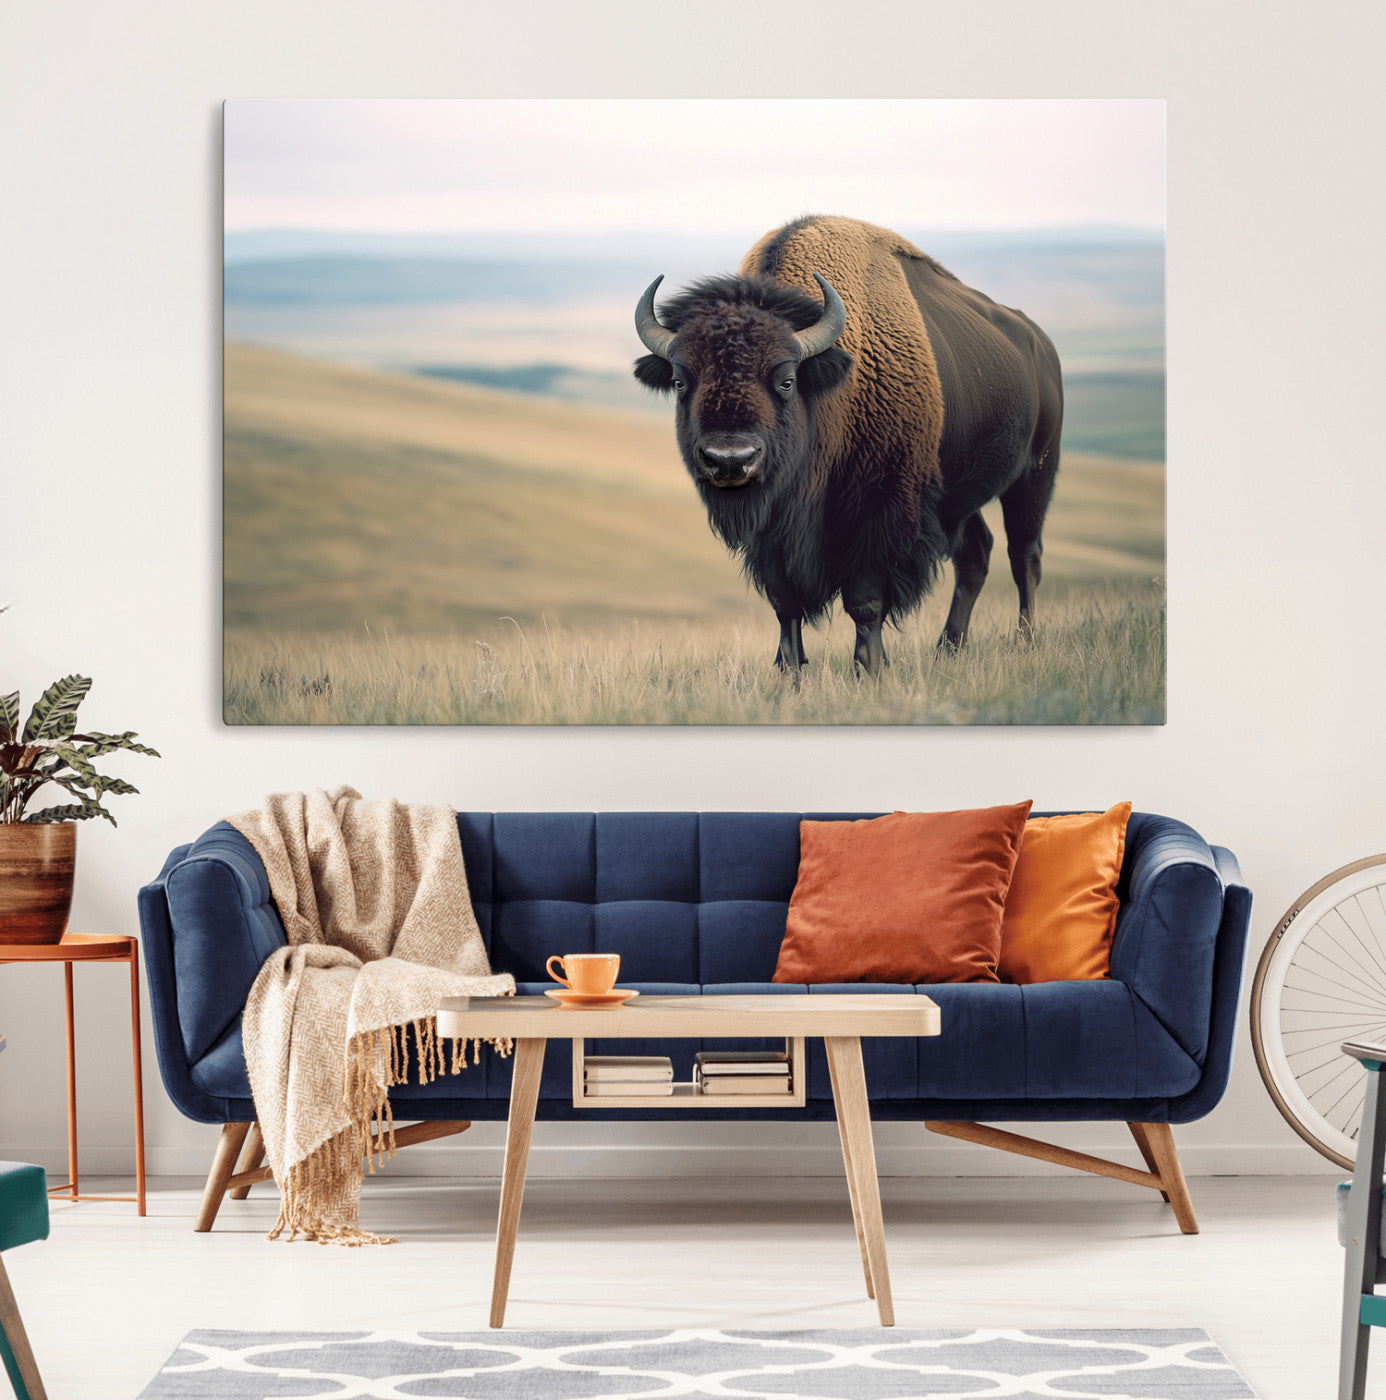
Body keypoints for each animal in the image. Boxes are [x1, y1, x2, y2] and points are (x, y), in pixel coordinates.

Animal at [632, 215, 1063, 676]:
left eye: (787, 379)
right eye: (680, 381)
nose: (731, 460)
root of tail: (1041, 345)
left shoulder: (881, 511)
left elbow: (865, 600)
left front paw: (869, 669)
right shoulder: (772, 535)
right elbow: (785, 603)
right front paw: (788, 670)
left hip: (1034, 476)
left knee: (1025, 557)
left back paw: (1024, 641)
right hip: (958, 499)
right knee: (976, 555)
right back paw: (949, 647)